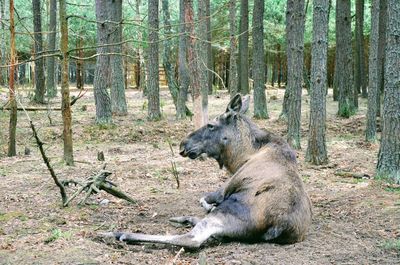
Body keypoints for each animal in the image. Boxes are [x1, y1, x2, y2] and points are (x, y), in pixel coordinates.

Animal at [104, 94, 314, 246]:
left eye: (211, 125)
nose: (183, 143)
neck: (241, 156)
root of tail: (281, 225)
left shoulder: (224, 189)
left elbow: (203, 198)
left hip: (228, 211)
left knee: (192, 239)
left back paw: (120, 233)